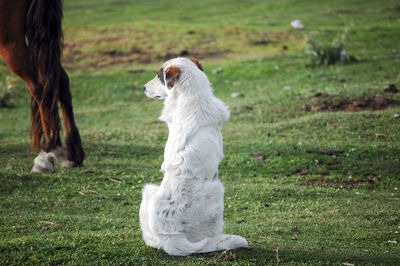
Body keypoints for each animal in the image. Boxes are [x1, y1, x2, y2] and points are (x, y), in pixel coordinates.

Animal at [139, 56, 248, 256]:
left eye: (158, 76)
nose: (143, 87)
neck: (192, 96)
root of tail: (171, 236)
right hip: (217, 189)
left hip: (149, 191)